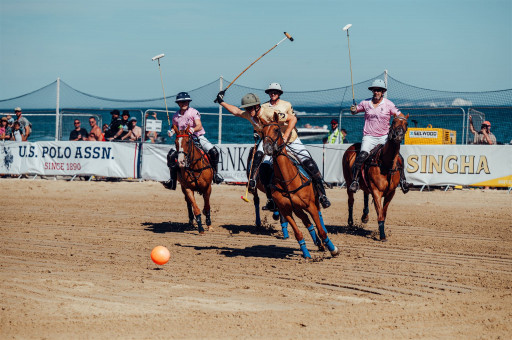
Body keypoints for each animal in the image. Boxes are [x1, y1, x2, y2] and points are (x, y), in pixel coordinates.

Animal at [260, 114, 340, 258]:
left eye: (276, 129)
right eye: (262, 132)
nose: (267, 148)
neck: (287, 181)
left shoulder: (310, 206)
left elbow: (321, 230)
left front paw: (333, 249)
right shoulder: (286, 210)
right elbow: (298, 233)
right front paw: (306, 254)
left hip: (314, 202)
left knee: (319, 219)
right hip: (298, 209)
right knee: (307, 222)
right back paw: (318, 244)